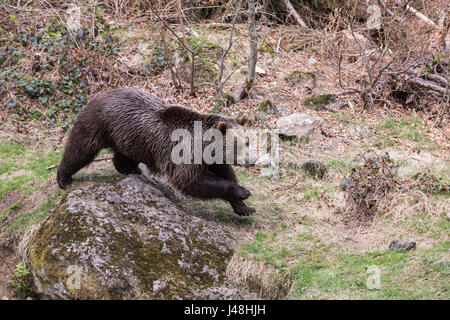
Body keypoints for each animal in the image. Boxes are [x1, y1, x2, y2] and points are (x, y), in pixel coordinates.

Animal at [56, 89, 256, 216]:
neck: (204, 145)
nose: (253, 160)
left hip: (131, 136)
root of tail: (97, 94)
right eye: (238, 146)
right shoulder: (185, 155)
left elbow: (225, 172)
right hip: (99, 123)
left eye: (247, 141)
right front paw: (243, 192)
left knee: (124, 154)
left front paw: (244, 207)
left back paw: (130, 169)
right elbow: (192, 180)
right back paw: (64, 178)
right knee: (80, 148)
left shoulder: (209, 158)